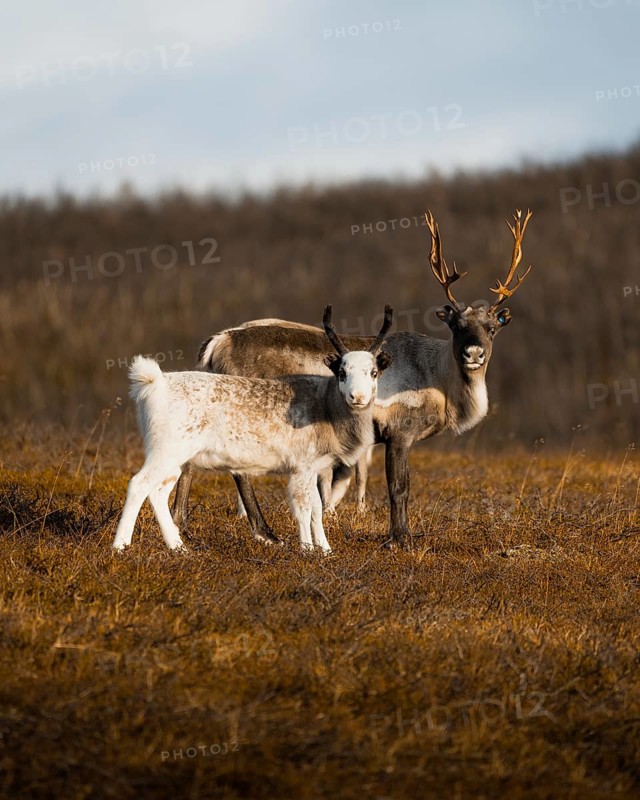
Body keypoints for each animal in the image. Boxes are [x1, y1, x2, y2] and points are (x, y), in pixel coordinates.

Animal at [171, 209, 533, 548]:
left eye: (492, 327)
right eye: (456, 325)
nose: (473, 354)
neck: (439, 381)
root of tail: (216, 344)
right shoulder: (399, 433)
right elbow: (398, 488)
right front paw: (400, 539)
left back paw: (183, 523)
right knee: (236, 471)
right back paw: (264, 533)